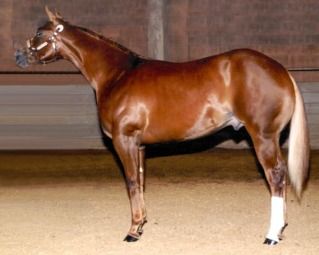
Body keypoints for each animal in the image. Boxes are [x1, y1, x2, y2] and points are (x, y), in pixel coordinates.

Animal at [15, 6, 310, 244]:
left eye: (40, 33)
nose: (19, 55)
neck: (117, 75)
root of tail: (281, 70)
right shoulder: (138, 145)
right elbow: (141, 181)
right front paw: (141, 226)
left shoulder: (124, 140)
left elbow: (132, 182)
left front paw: (132, 232)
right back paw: (280, 230)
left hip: (263, 136)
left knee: (275, 176)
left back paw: (272, 235)